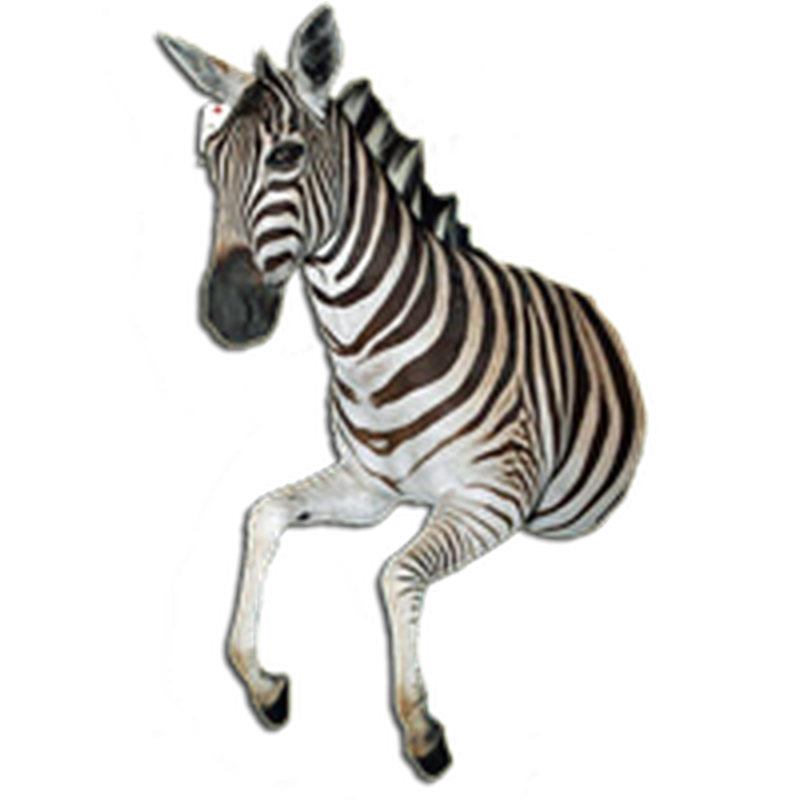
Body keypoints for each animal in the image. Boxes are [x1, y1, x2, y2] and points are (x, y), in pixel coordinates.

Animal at [158, 2, 650, 782]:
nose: (226, 313)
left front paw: (421, 729)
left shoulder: (493, 496)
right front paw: (262, 681)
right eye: (210, 165)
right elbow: (264, 514)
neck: (373, 349)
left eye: (287, 157)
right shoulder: (372, 486)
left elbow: (395, 574)